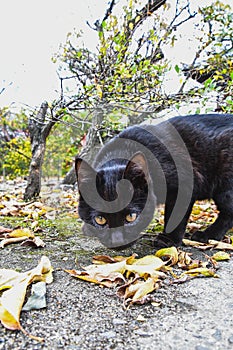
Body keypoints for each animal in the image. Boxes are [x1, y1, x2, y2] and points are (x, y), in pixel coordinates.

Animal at [75, 114, 233, 249]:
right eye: (100, 219)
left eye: (131, 217)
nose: (117, 241)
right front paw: (88, 228)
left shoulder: (184, 187)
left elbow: (175, 216)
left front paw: (168, 239)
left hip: (225, 185)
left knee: (228, 212)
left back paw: (208, 235)